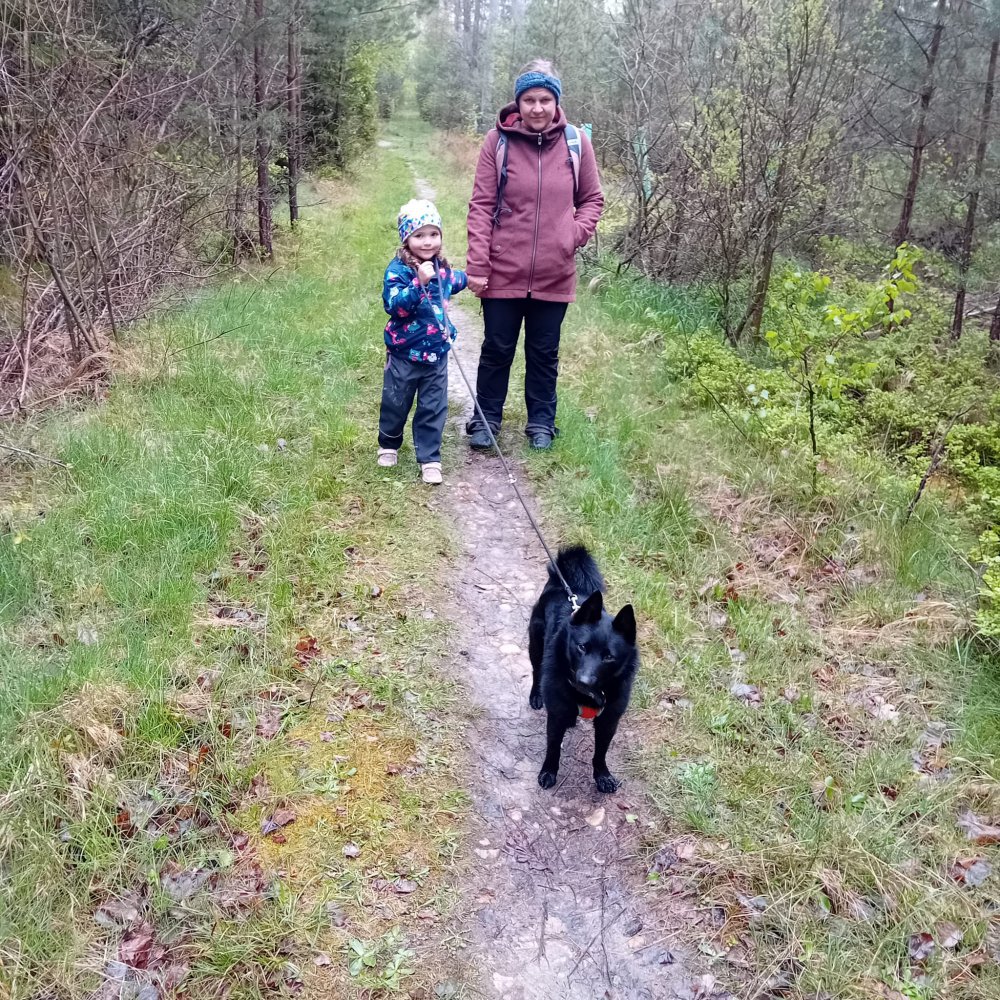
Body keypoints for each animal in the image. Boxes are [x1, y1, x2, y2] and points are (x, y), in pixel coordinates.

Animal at [527, 545, 638, 793]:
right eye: (581, 647)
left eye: (609, 657)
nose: (583, 681)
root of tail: (565, 585)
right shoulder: (557, 715)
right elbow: (553, 748)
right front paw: (548, 772)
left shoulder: (609, 721)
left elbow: (600, 753)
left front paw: (602, 776)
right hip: (535, 645)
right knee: (536, 671)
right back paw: (536, 696)